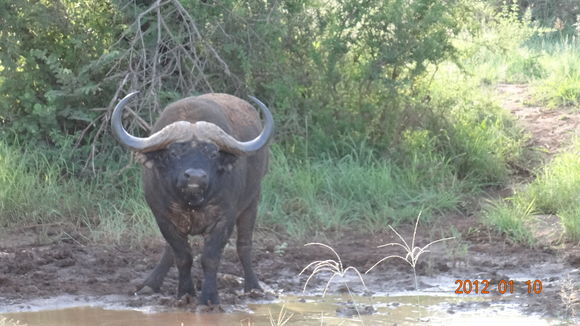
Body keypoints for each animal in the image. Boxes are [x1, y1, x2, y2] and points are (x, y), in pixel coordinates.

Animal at [111, 91, 274, 306]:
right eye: (174, 152)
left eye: (213, 153)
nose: (195, 177)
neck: (192, 201)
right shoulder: (163, 217)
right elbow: (182, 256)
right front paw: (186, 293)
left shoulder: (224, 219)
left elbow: (210, 258)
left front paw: (209, 298)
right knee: (169, 251)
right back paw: (150, 284)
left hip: (252, 202)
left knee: (244, 245)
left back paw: (253, 287)